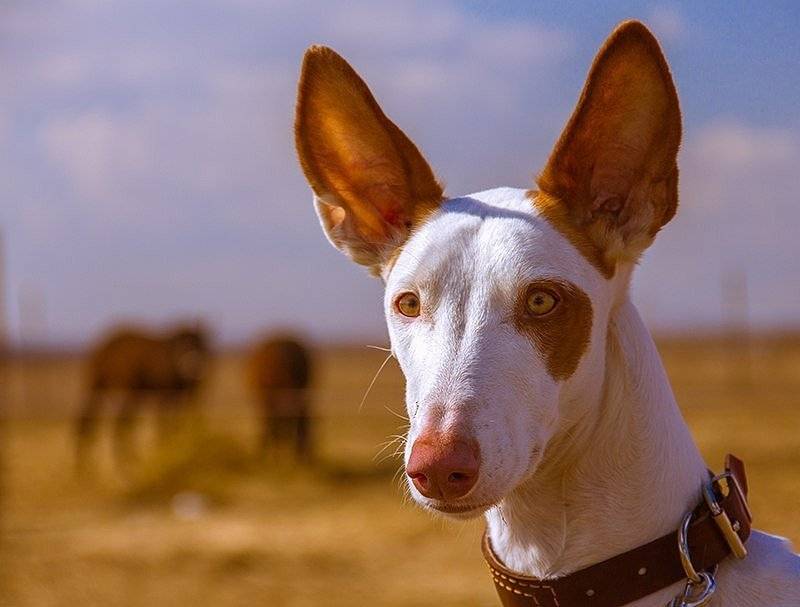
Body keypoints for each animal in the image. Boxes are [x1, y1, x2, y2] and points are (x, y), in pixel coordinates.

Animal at [74, 324, 209, 470]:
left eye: (200, 344)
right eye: (182, 344)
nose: (193, 365)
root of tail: (104, 350)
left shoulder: (180, 396)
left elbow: (176, 422)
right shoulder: (164, 395)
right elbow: (164, 423)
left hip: (110, 390)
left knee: (93, 421)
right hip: (122, 391)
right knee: (110, 423)